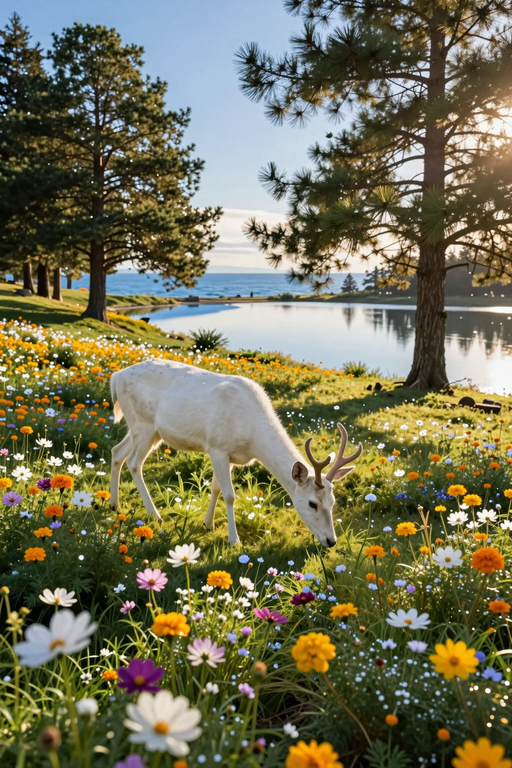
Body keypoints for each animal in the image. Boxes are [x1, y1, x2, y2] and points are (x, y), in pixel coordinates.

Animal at [109, 359, 362, 546]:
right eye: (312, 504)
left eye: (333, 502)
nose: (331, 541)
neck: (251, 438)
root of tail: (115, 377)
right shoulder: (217, 446)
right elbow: (230, 494)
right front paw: (234, 540)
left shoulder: (228, 455)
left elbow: (215, 488)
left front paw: (208, 524)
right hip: (143, 424)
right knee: (134, 463)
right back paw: (155, 515)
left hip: (145, 430)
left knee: (116, 451)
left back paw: (114, 504)